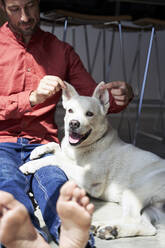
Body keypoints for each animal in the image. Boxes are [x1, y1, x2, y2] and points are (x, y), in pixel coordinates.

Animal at [20, 82, 165, 239]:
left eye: (89, 114)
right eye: (70, 110)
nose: (73, 124)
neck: (89, 145)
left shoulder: (90, 178)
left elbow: (57, 159)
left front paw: (30, 165)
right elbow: (55, 146)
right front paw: (37, 151)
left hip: (133, 192)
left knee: (134, 220)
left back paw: (108, 228)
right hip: (153, 210)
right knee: (148, 227)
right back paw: (108, 229)